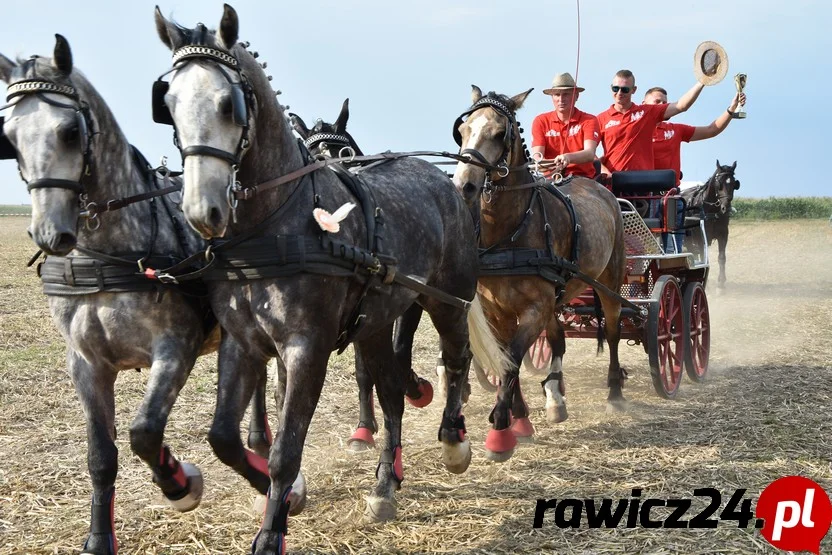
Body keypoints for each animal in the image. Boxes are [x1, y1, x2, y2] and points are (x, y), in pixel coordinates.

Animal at [0, 35, 268, 555]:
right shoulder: (85, 363)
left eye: (69, 131)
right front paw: (99, 538)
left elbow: (144, 431)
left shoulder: (175, 348)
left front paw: (180, 482)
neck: (112, 254)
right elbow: (101, 455)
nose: (50, 233)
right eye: (10, 137)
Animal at [153, 5, 510, 555]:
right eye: (167, 103)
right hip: (377, 322)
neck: (276, 222)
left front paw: (272, 529)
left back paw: (455, 440)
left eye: (230, 104)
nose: (201, 209)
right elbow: (225, 438)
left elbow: (286, 448)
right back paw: (386, 483)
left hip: (448, 299)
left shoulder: (307, 347)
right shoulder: (244, 340)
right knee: (390, 391)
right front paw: (275, 493)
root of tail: (446, 182)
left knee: (456, 361)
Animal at [452, 84, 628, 462]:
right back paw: (555, 396)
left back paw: (615, 393)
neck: (509, 232)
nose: (465, 185)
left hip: (608, 282)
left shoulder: (534, 308)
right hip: (558, 295)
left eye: (500, 133)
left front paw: (501, 430)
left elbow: (512, 361)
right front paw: (520, 419)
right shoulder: (498, 311)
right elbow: (508, 358)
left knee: (614, 332)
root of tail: (600, 189)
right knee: (558, 339)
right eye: (463, 129)